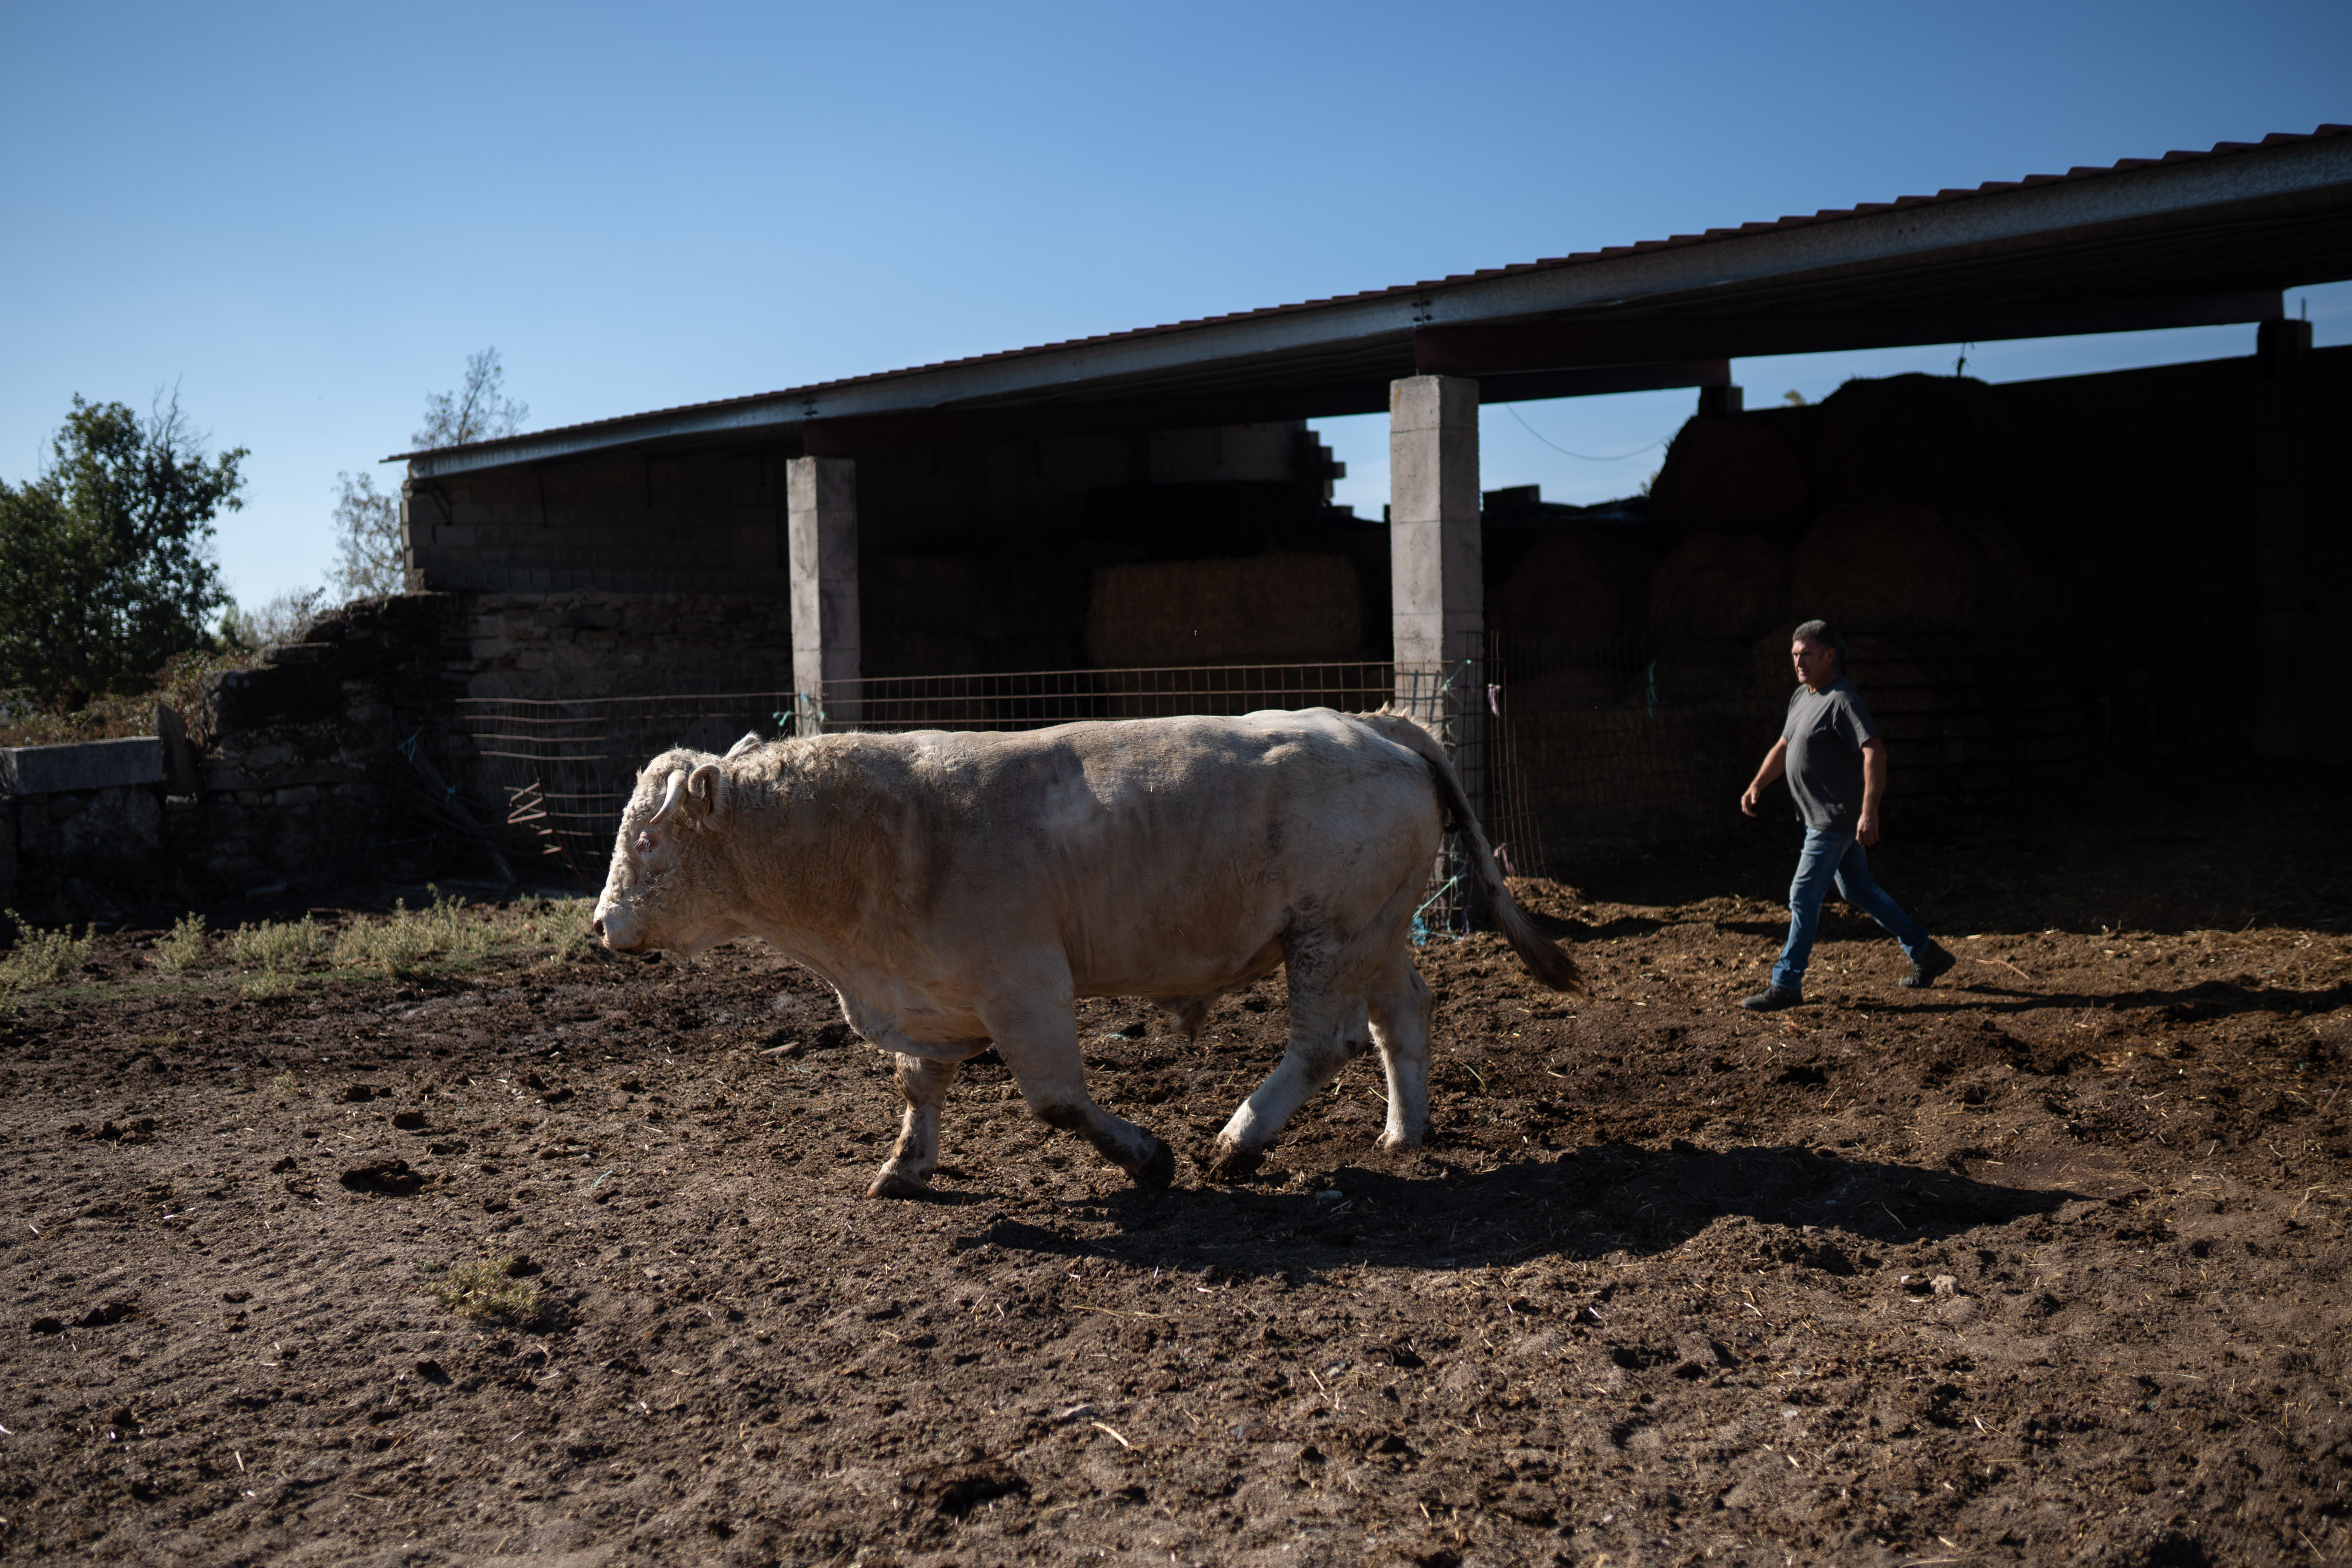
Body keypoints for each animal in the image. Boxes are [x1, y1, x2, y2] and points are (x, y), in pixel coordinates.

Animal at [588, 705, 1581, 1194]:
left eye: (648, 839)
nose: (600, 924)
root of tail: (1374, 723)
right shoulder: (931, 989)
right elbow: (918, 1084)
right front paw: (905, 1166)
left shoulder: (1023, 984)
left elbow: (1057, 1099)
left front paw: (1148, 1157)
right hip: (1371, 930)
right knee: (1400, 1015)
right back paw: (1403, 1130)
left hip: (1329, 934)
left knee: (1322, 1042)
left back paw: (1240, 1139)